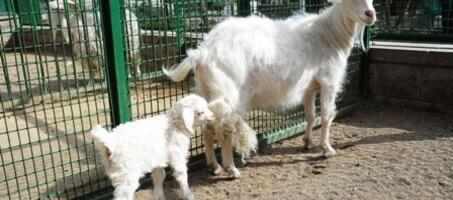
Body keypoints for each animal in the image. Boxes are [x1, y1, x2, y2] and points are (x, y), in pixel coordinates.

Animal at [164, 0, 376, 178]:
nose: (370, 14)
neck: (330, 36)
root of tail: (202, 53)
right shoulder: (329, 82)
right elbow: (326, 115)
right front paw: (327, 149)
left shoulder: (309, 88)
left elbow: (310, 115)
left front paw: (308, 142)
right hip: (229, 94)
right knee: (225, 130)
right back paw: (231, 169)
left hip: (206, 91)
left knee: (207, 128)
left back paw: (214, 166)